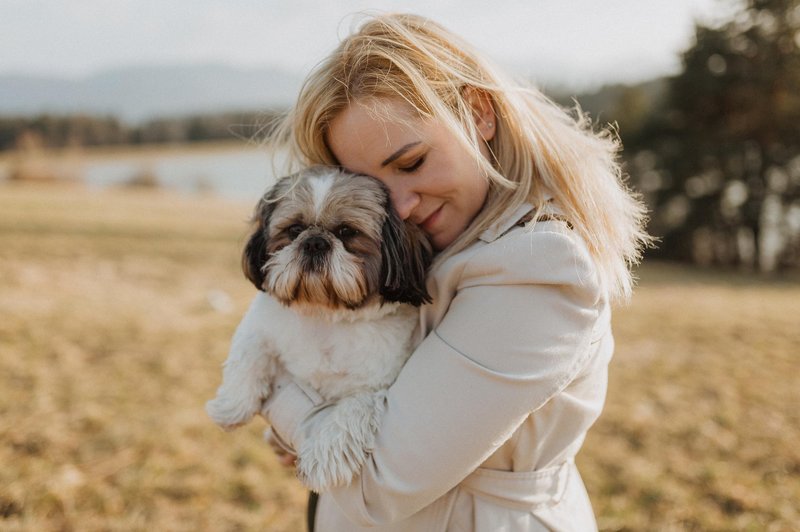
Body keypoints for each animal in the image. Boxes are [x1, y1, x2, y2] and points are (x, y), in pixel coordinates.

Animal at [206, 168, 432, 492]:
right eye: (294, 229)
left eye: (347, 232)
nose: (314, 242)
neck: (326, 314)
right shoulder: (258, 325)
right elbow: (248, 356)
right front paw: (231, 406)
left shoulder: (375, 386)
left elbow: (350, 413)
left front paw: (323, 461)